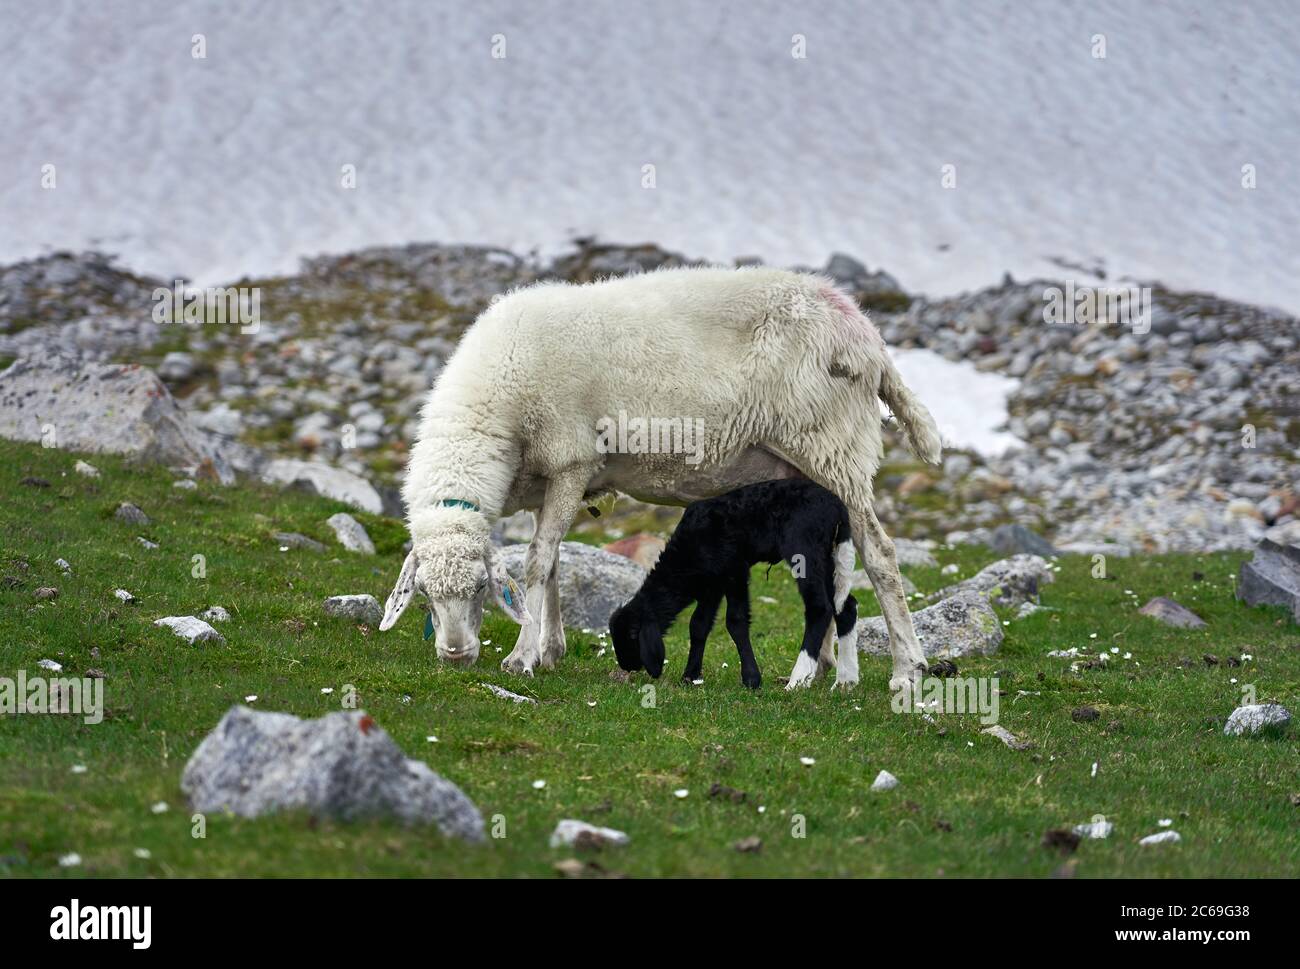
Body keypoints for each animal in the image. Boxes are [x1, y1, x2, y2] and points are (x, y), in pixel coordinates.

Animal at [608, 478, 861, 690]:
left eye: (632, 635)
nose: (626, 666)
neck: (686, 556)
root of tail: (838, 507)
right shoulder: (712, 582)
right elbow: (698, 625)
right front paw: (690, 676)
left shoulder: (735, 570)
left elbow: (735, 621)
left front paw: (751, 679)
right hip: (829, 554)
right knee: (845, 605)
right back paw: (845, 681)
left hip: (804, 549)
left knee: (820, 607)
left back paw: (797, 680)